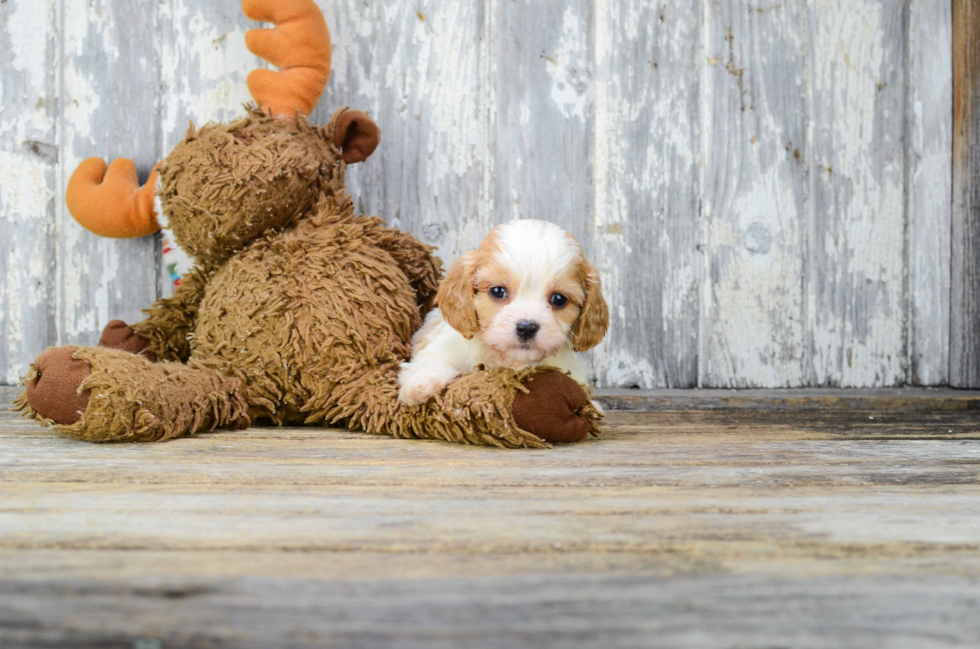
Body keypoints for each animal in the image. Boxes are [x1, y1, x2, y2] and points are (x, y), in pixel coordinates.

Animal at [398, 220, 604, 402]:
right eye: (498, 291)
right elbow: (431, 360)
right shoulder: (441, 346)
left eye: (559, 299)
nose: (527, 327)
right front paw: (420, 385)